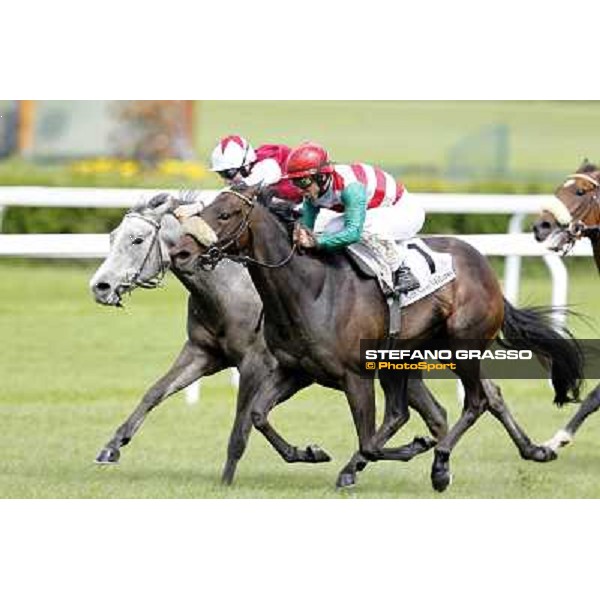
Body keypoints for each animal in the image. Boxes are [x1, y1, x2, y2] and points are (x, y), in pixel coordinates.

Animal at [88, 193, 446, 488]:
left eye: (137, 240)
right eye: (112, 237)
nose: (100, 287)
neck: (232, 288)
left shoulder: (258, 365)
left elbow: (242, 425)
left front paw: (227, 480)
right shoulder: (203, 352)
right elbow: (155, 392)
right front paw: (111, 447)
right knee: (434, 413)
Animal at [169, 184, 580, 492]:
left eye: (225, 215)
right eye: (204, 209)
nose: (181, 252)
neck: (310, 289)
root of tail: (483, 266)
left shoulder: (356, 375)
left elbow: (367, 438)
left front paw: (409, 449)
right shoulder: (297, 371)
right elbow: (257, 415)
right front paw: (309, 452)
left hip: (461, 345)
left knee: (473, 401)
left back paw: (438, 465)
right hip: (411, 356)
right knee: (455, 402)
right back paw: (530, 450)